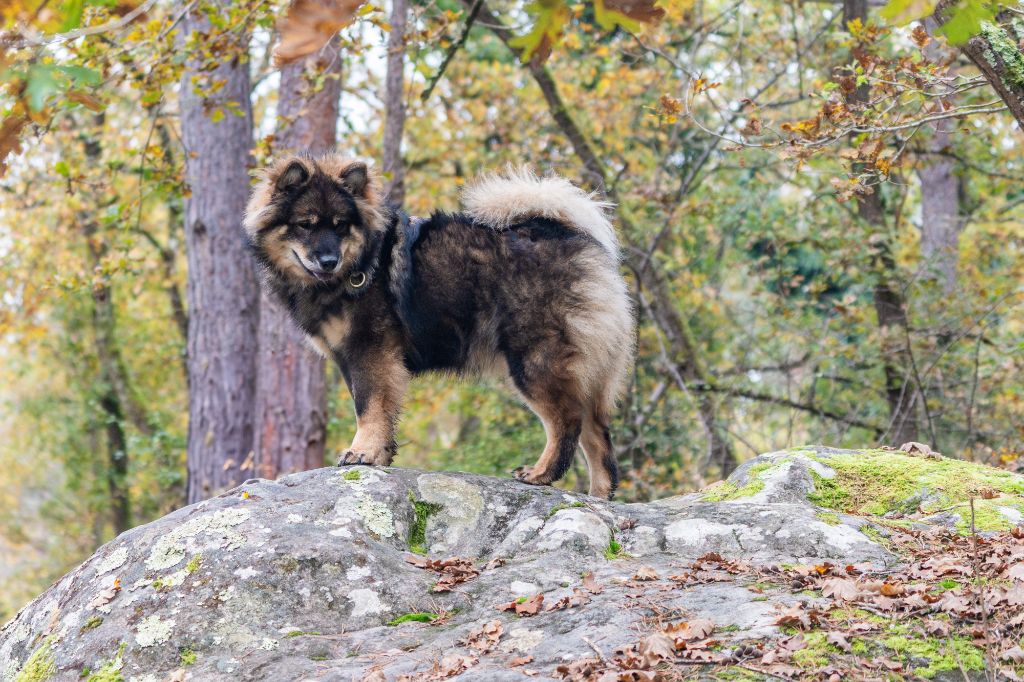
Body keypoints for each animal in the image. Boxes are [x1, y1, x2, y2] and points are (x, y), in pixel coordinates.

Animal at [244, 152, 634, 493]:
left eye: (340, 227)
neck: (363, 263)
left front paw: (362, 452)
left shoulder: (371, 352)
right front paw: (381, 455)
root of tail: (569, 236)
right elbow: (380, 411)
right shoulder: (352, 359)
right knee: (598, 439)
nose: (328, 260)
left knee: (567, 422)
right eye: (306, 225)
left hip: (533, 362)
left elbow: (369, 408)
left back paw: (541, 473)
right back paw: (599, 499)